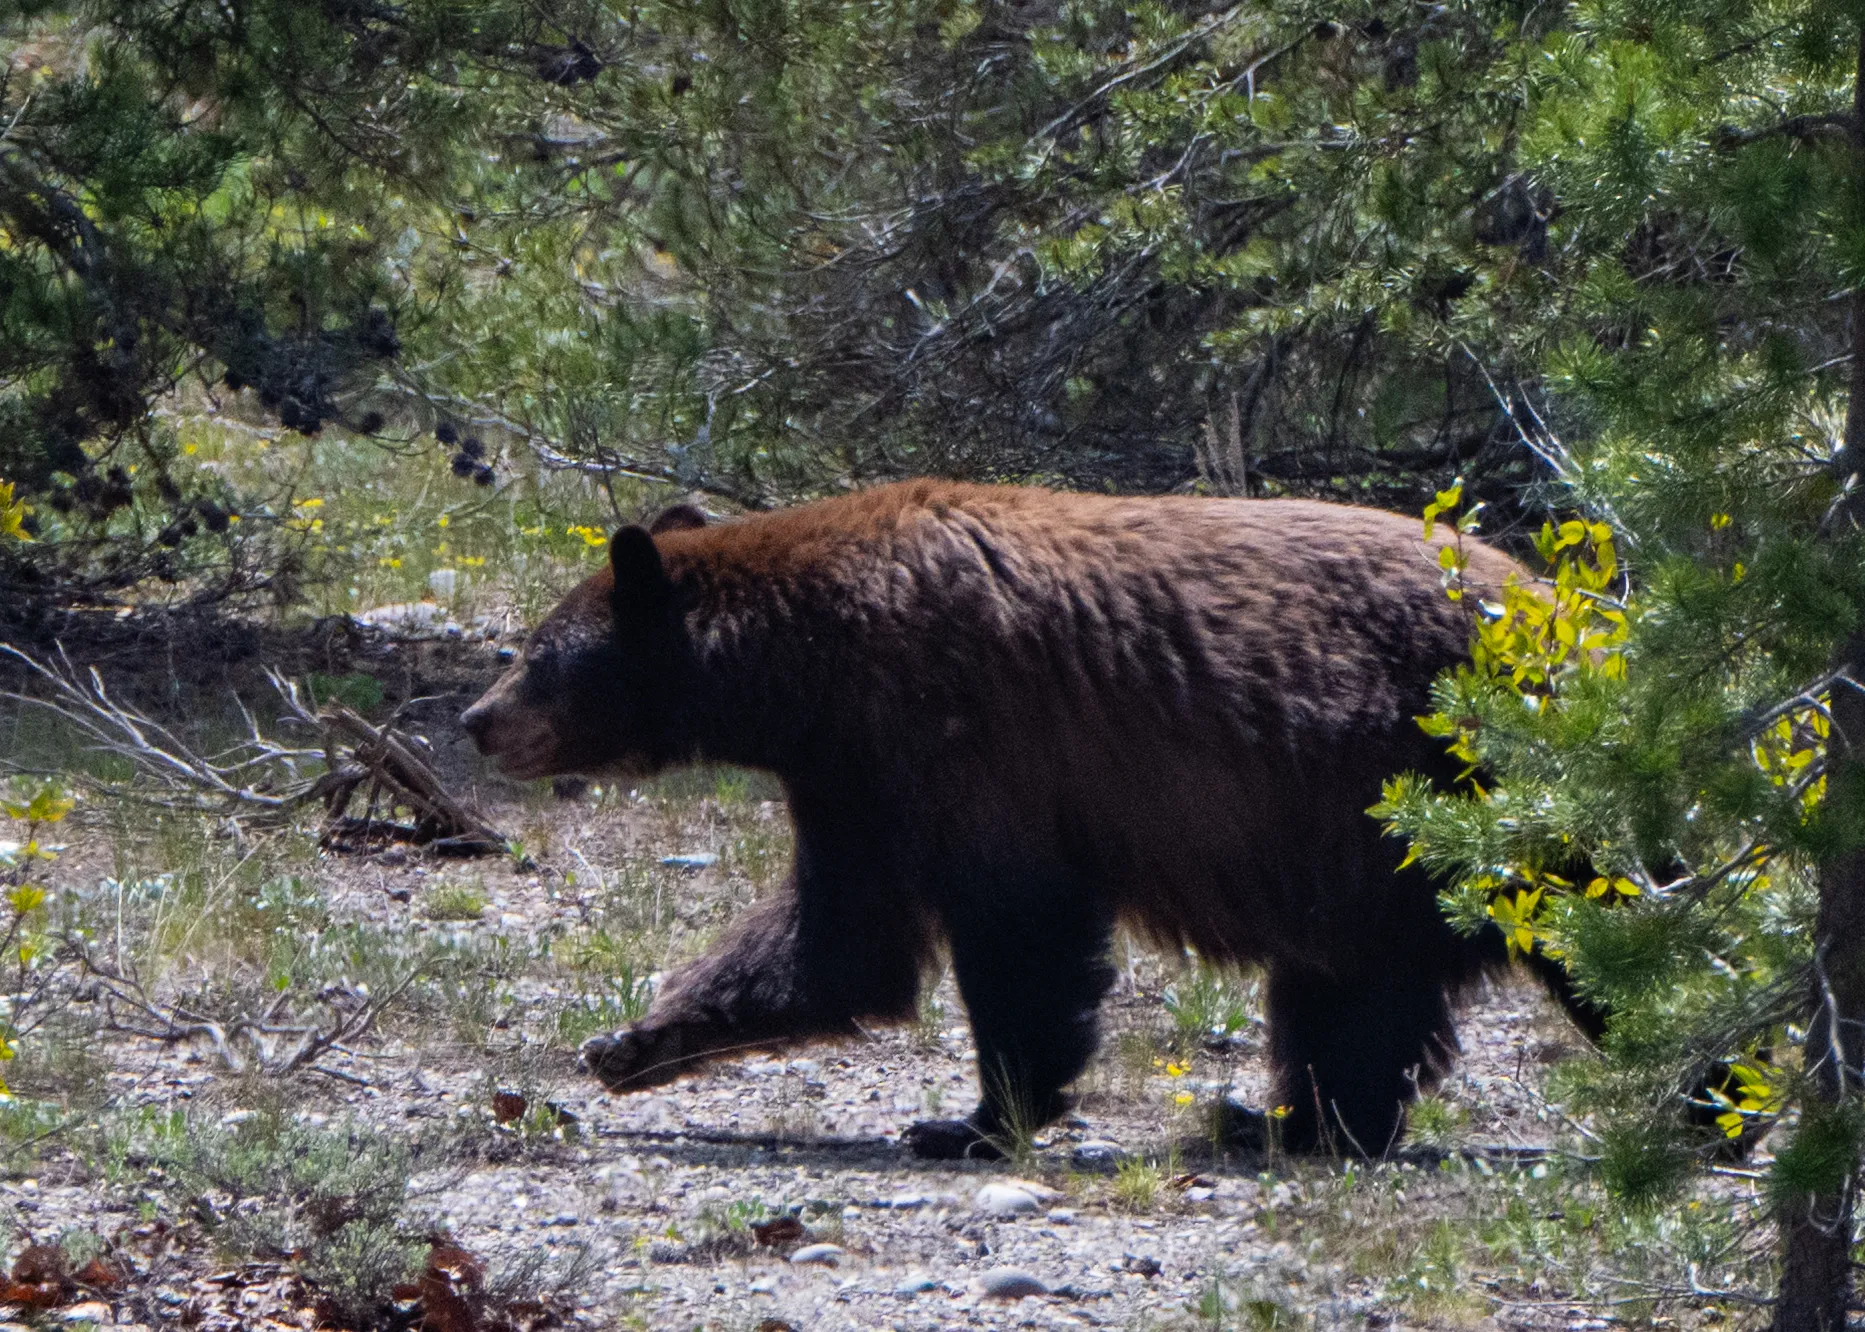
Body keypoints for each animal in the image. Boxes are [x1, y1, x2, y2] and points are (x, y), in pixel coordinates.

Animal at [461, 479, 1596, 1159]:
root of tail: (1569, 614)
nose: (476, 721)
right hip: (1372, 846)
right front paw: (636, 1039)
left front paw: (974, 1119)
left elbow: (1017, 928)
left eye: (537, 653)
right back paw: (1283, 1124)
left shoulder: (960, 729)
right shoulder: (853, 777)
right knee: (1350, 989)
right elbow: (838, 939)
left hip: (1461, 783)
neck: (810, 660)